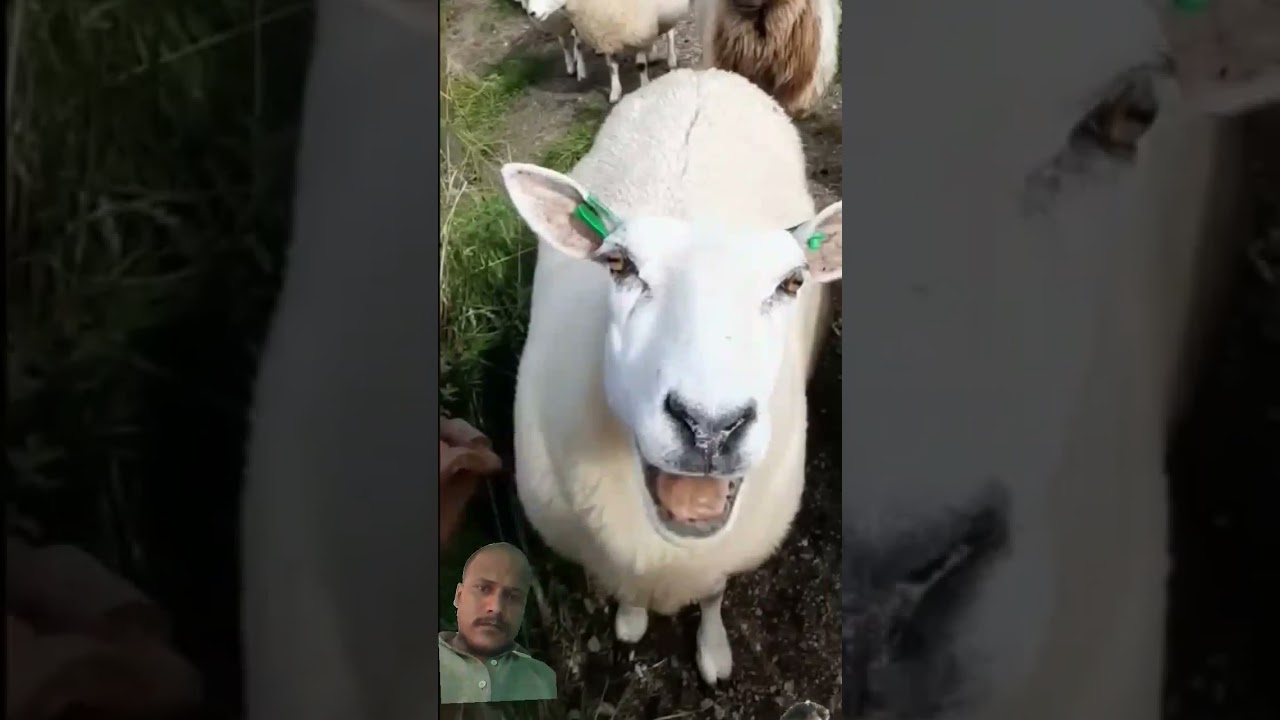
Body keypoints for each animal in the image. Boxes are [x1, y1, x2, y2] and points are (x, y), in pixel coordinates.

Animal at [499, 67, 842, 687]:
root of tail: (706, 73)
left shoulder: (721, 554)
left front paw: (713, 650)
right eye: (619, 265)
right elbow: (627, 593)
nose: (710, 427)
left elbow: (713, 595)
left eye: (793, 282)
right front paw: (632, 622)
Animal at [527, 0, 691, 103]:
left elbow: (640, 66)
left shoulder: (638, 32)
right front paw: (615, 92)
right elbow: (612, 67)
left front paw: (644, 87)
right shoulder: (605, 37)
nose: (531, 13)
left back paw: (671, 60)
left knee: (670, 34)